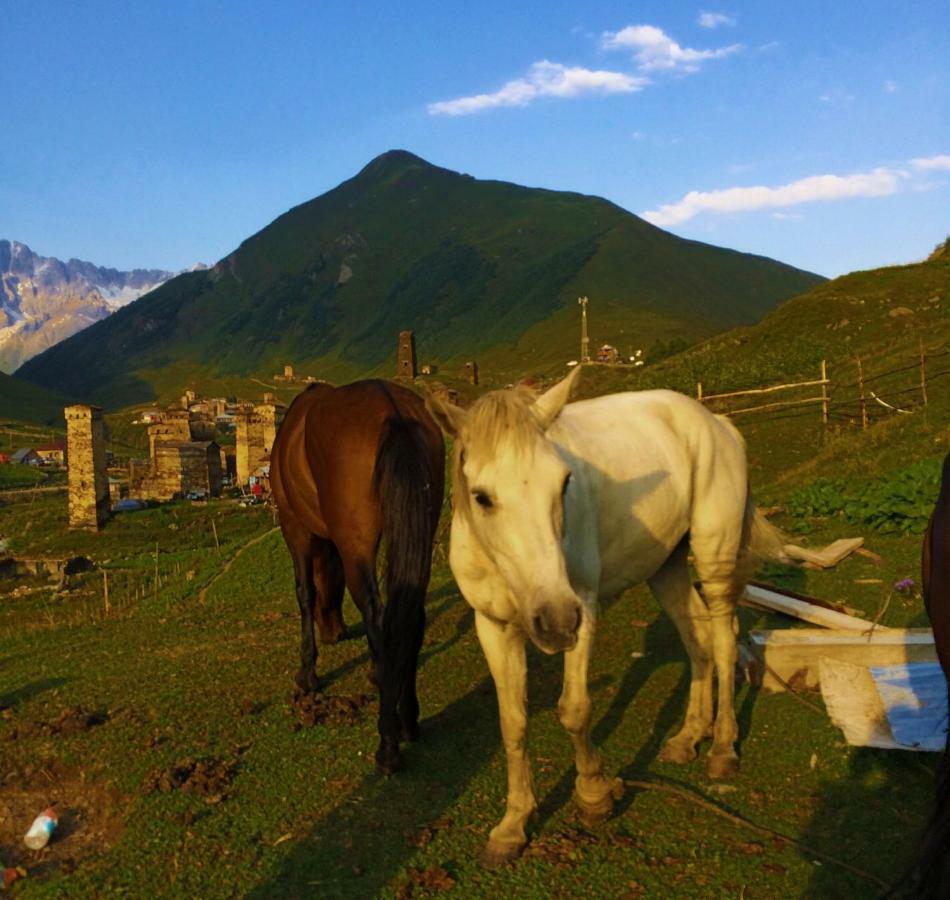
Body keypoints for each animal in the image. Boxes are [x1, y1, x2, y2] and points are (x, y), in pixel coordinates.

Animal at [270, 380, 444, 772]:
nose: (333, 631)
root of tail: (393, 411)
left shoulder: (295, 528)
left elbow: (305, 593)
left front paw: (308, 673)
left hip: (355, 545)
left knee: (380, 619)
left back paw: (389, 742)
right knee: (410, 614)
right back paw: (408, 718)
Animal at [428, 366, 784, 864]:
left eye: (563, 483)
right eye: (482, 497)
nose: (555, 621)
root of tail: (715, 422)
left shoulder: (585, 605)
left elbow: (574, 709)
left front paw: (594, 794)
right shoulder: (493, 626)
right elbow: (512, 722)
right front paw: (513, 825)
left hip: (715, 555)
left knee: (723, 636)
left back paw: (722, 747)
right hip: (665, 565)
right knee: (697, 640)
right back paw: (688, 736)